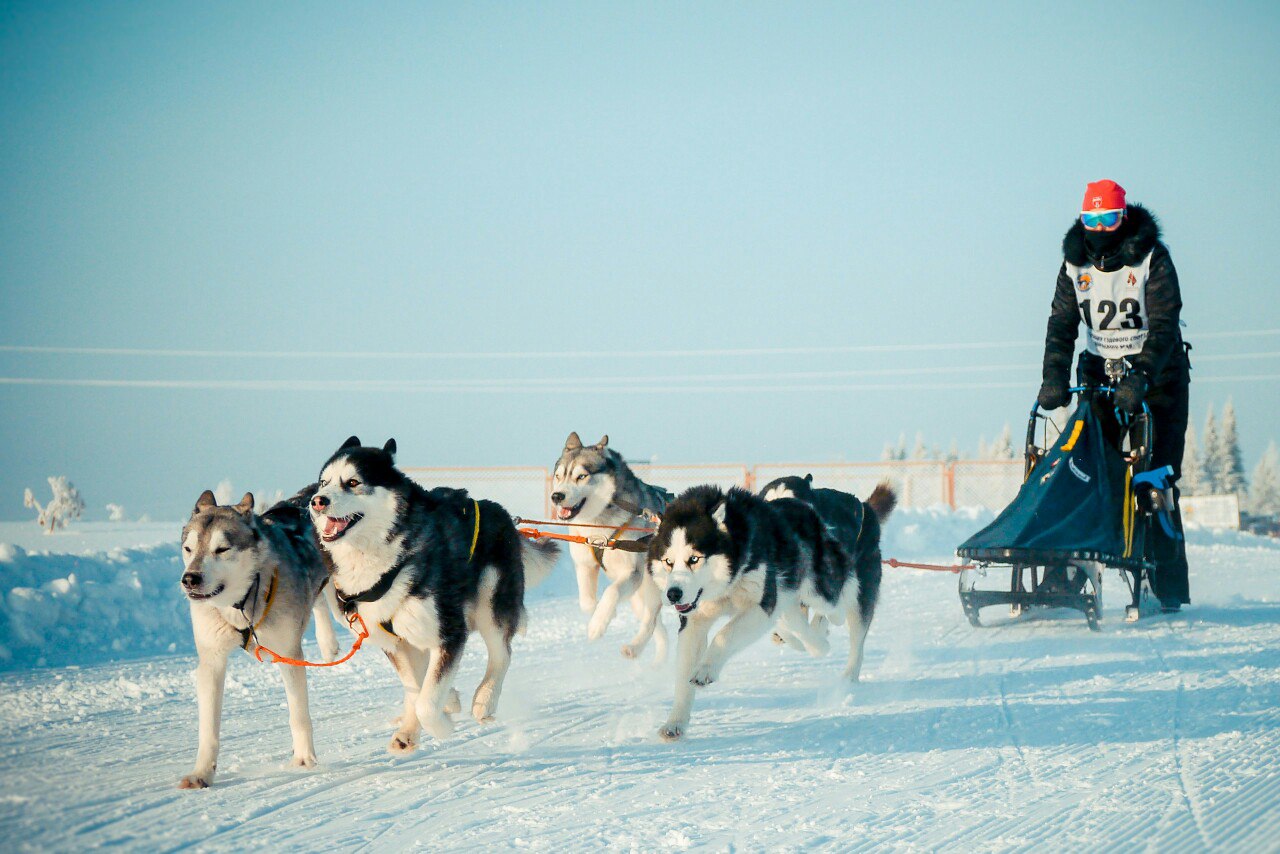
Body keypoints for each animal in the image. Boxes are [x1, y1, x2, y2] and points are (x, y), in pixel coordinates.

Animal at [180, 486, 343, 788]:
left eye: (222, 549)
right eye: (188, 548)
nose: (190, 579)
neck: (240, 604)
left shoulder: (289, 654)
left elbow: (298, 714)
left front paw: (304, 759)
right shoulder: (211, 662)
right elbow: (208, 730)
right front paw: (202, 773)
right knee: (319, 602)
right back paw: (328, 643)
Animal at [311, 437, 560, 752]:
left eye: (353, 482)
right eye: (323, 482)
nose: (317, 501)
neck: (389, 562)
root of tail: (501, 513)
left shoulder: (450, 632)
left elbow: (426, 704)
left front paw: (442, 726)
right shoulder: (395, 643)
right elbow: (417, 686)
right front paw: (432, 712)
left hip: (491, 601)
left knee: (502, 652)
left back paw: (485, 700)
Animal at [547, 435, 670, 660]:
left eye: (581, 476)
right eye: (559, 476)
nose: (556, 496)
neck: (598, 528)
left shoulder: (632, 571)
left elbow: (611, 592)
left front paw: (597, 624)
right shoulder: (585, 566)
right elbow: (587, 603)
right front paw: (604, 613)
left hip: (652, 587)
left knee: (650, 622)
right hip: (638, 598)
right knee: (657, 627)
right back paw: (645, 654)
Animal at [650, 483, 890, 742]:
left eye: (694, 558)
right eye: (668, 562)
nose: (673, 594)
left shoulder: (762, 604)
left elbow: (724, 634)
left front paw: (706, 669)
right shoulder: (694, 622)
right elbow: (684, 676)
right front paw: (675, 722)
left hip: (824, 591)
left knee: (839, 613)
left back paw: (840, 662)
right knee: (797, 620)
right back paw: (813, 640)